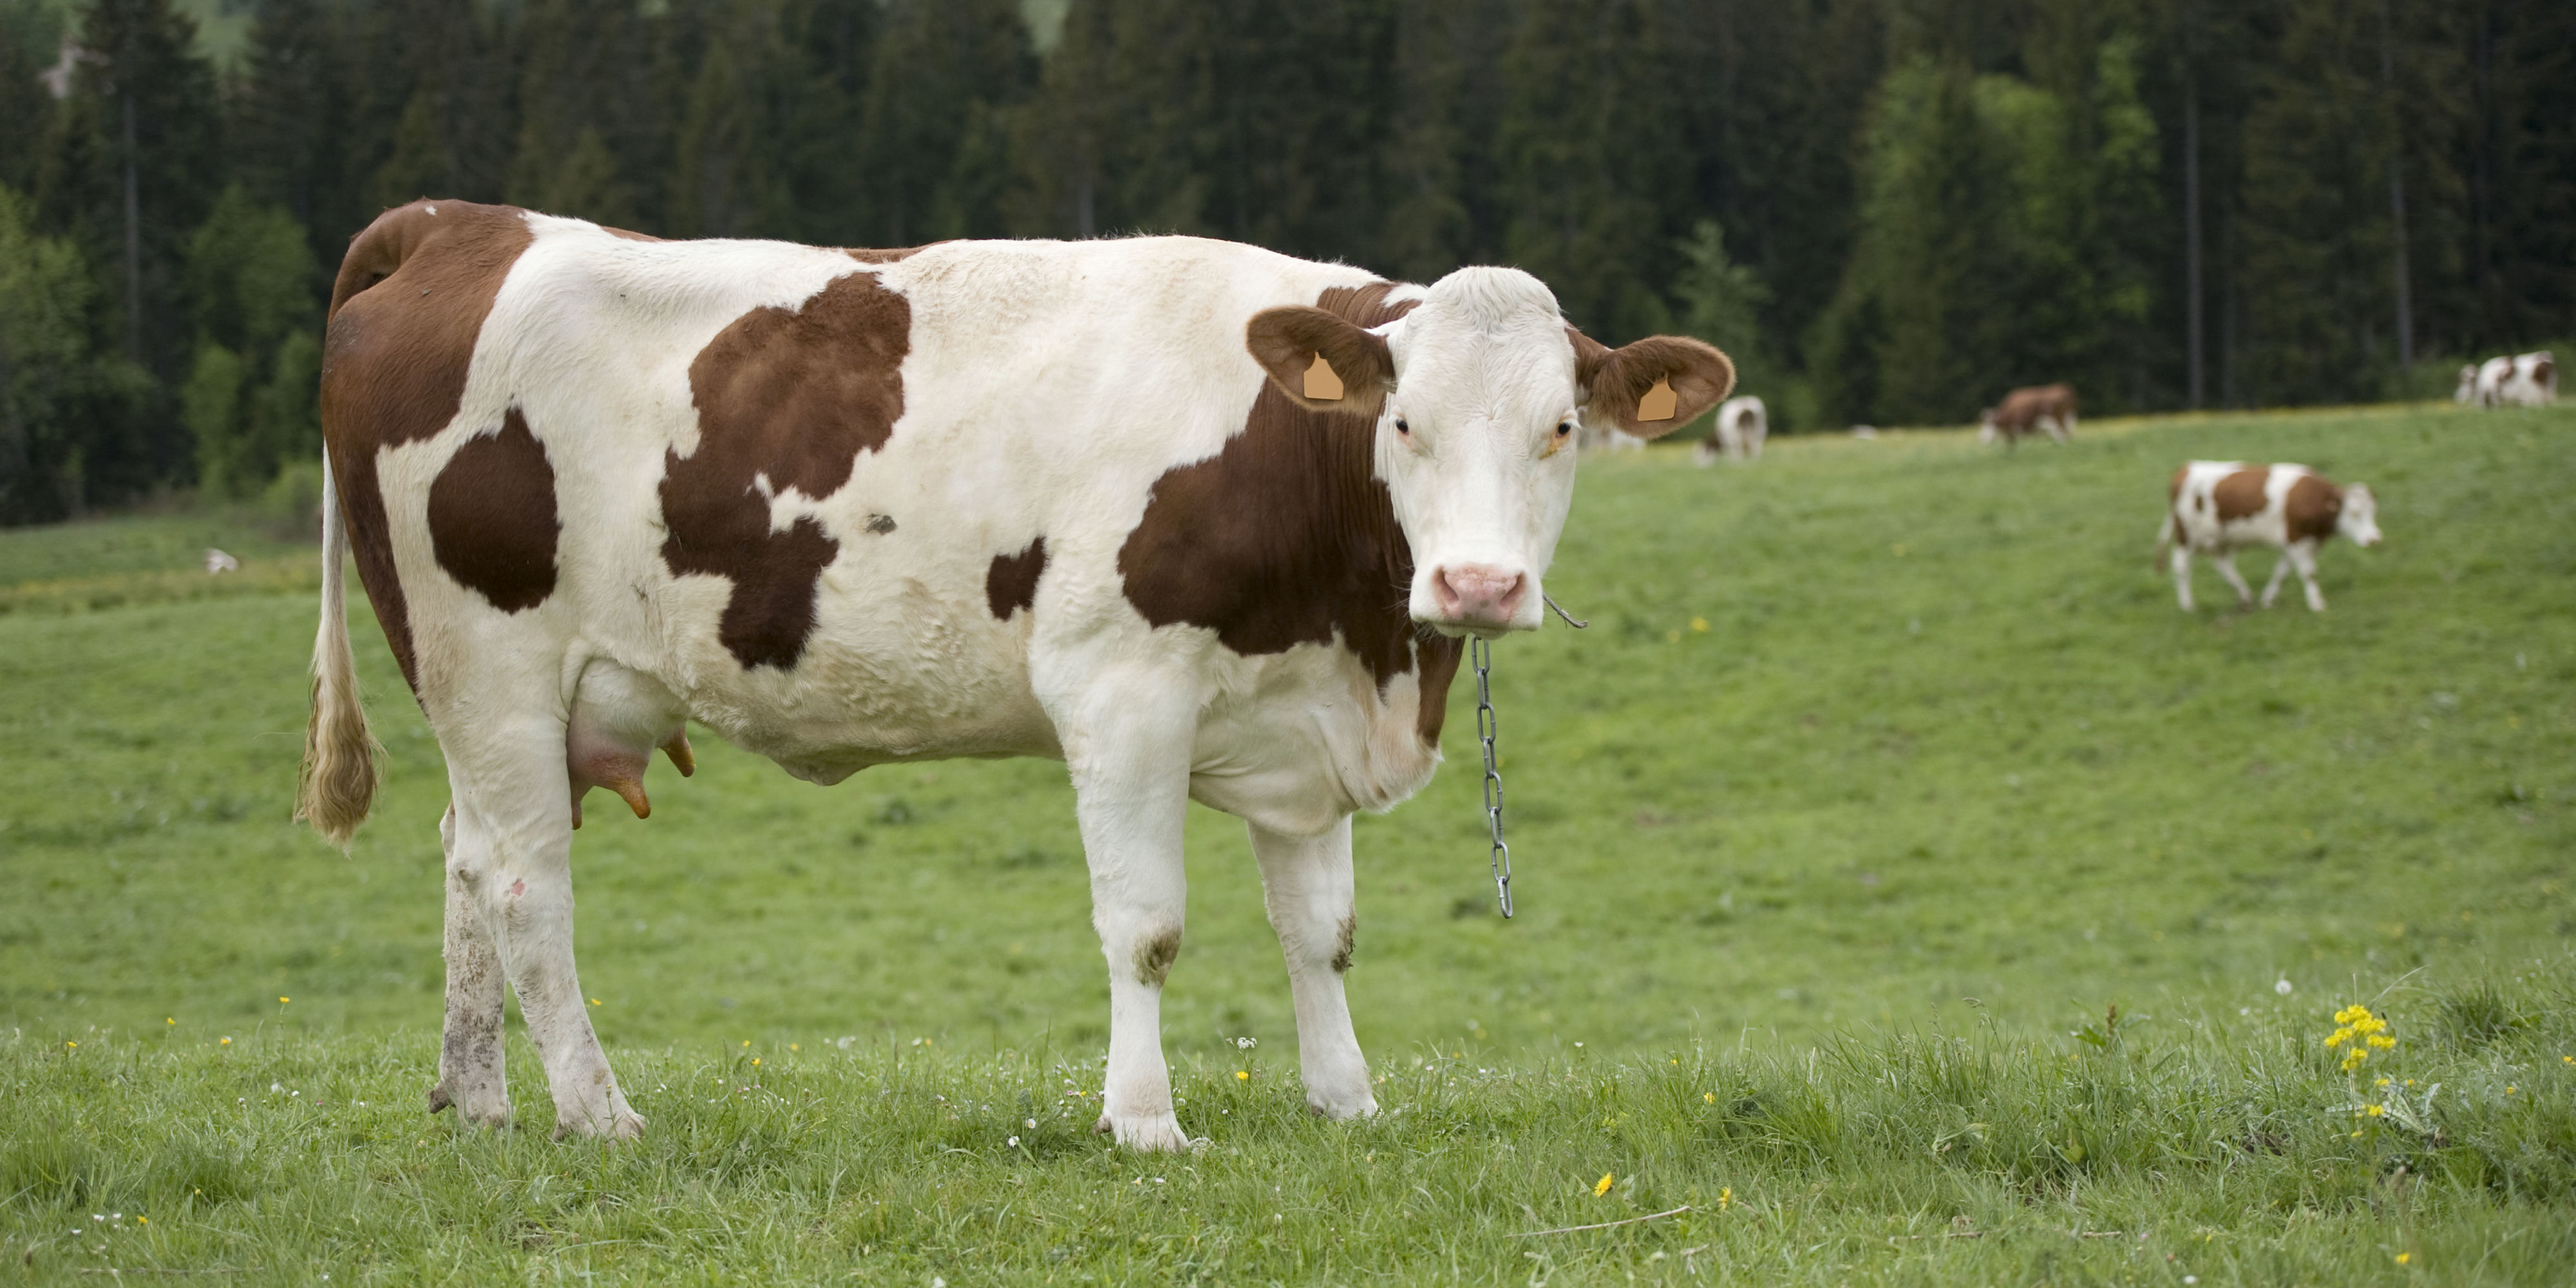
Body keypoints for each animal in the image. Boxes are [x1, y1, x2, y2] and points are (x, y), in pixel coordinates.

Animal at [297, 200, 1734, 1152]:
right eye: (1403, 422)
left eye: (1562, 426)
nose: (1477, 588)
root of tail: (467, 224)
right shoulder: (1120, 693)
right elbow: (1145, 926)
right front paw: (1146, 1124)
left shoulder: (1301, 715)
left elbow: (1318, 932)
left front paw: (1347, 1102)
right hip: (488, 660)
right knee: (526, 889)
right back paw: (600, 1114)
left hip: (511, 701)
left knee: (467, 862)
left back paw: (478, 1101)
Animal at [1978, 383, 2076, 449]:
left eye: (1989, 425)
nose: (1983, 438)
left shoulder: (2011, 429)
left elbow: (2011, 445)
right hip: (2066, 418)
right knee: (2066, 435)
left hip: (2055, 421)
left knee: (2062, 435)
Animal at [2157, 461, 2380, 613]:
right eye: (2354, 513)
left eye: (2373, 511)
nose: (2374, 540)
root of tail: (2188, 467)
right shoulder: (2297, 540)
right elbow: (2309, 573)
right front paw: (2318, 604)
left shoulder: (2291, 544)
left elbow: (2281, 573)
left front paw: (2268, 600)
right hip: (2186, 537)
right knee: (2182, 567)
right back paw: (2187, 605)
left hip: (2221, 539)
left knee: (2223, 565)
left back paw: (2246, 597)